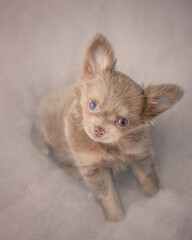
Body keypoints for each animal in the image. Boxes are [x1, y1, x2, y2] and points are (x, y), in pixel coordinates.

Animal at [31, 33, 184, 221]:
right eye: (92, 105)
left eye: (123, 122)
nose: (99, 130)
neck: (110, 147)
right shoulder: (93, 169)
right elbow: (108, 195)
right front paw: (117, 219)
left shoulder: (140, 155)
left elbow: (147, 179)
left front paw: (157, 199)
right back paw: (74, 172)